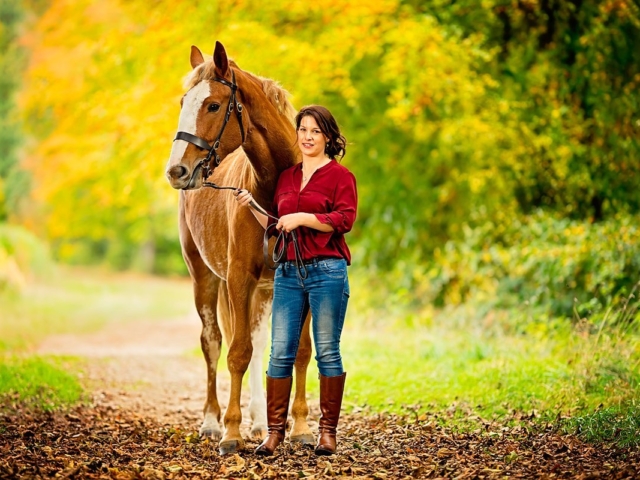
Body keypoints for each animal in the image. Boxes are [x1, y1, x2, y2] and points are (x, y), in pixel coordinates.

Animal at [165, 40, 316, 454]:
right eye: (184, 101)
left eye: (213, 105)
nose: (176, 171)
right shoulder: (237, 279)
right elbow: (237, 353)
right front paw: (231, 434)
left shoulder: (294, 279)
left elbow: (298, 352)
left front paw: (299, 427)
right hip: (204, 277)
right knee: (213, 342)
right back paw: (212, 422)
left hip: (265, 289)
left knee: (261, 343)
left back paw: (261, 421)